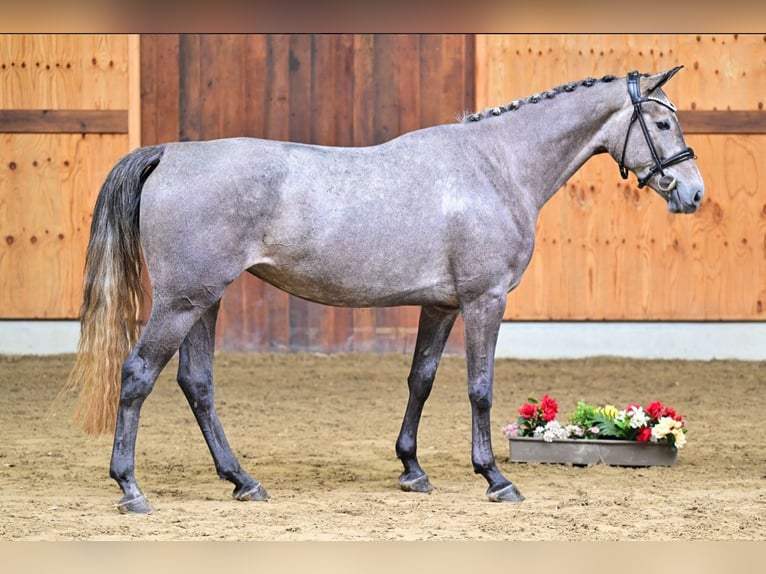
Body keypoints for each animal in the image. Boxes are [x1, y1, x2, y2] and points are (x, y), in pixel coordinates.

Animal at [66, 66, 703, 514]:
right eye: (663, 123)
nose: (693, 193)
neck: (494, 166)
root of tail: (170, 153)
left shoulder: (440, 305)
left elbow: (421, 379)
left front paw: (412, 470)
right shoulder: (485, 300)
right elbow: (479, 389)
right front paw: (496, 478)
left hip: (204, 302)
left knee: (197, 385)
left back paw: (243, 481)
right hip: (181, 303)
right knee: (137, 375)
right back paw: (130, 488)